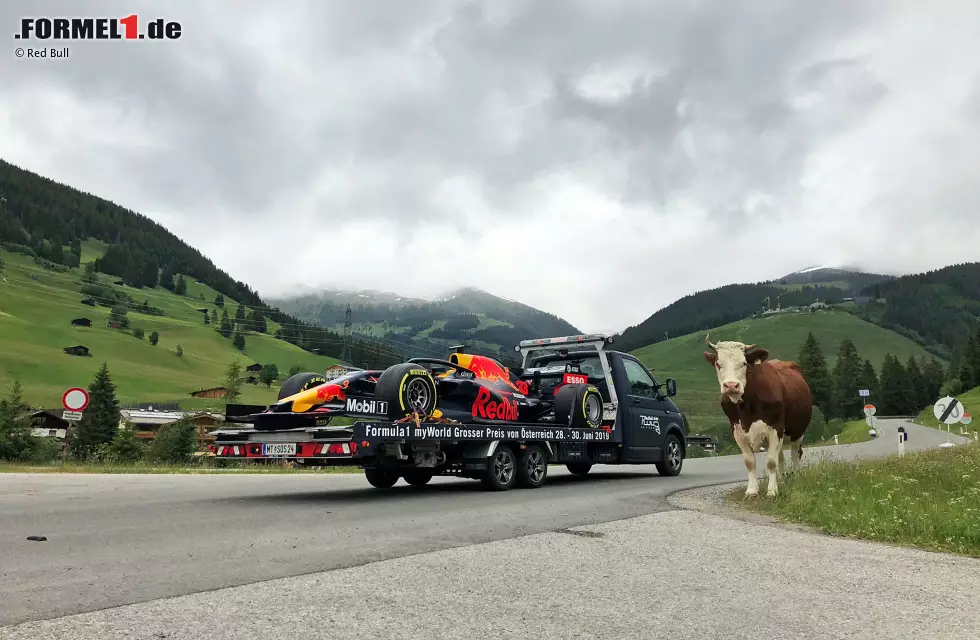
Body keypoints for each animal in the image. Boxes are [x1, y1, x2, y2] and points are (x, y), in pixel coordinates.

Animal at [704, 336, 812, 500]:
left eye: (744, 363)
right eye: (718, 364)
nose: (731, 386)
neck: (747, 408)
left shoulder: (776, 427)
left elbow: (771, 462)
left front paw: (772, 491)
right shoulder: (737, 430)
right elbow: (750, 462)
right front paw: (752, 491)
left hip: (797, 431)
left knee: (795, 454)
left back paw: (796, 477)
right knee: (781, 457)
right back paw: (782, 480)